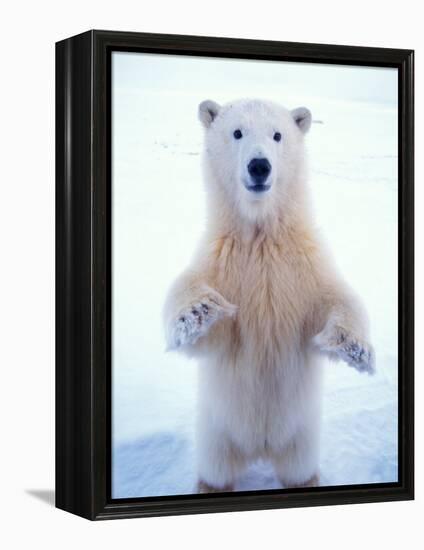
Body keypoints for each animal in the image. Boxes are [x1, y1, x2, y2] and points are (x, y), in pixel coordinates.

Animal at [163, 99, 374, 496]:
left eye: (277, 135)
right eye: (237, 132)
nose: (259, 166)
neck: (261, 235)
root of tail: (260, 449)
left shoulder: (303, 265)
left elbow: (336, 298)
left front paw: (355, 348)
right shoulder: (222, 261)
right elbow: (197, 312)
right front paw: (199, 309)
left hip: (302, 436)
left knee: (299, 469)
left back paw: (306, 481)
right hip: (216, 432)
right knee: (216, 469)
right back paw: (210, 486)